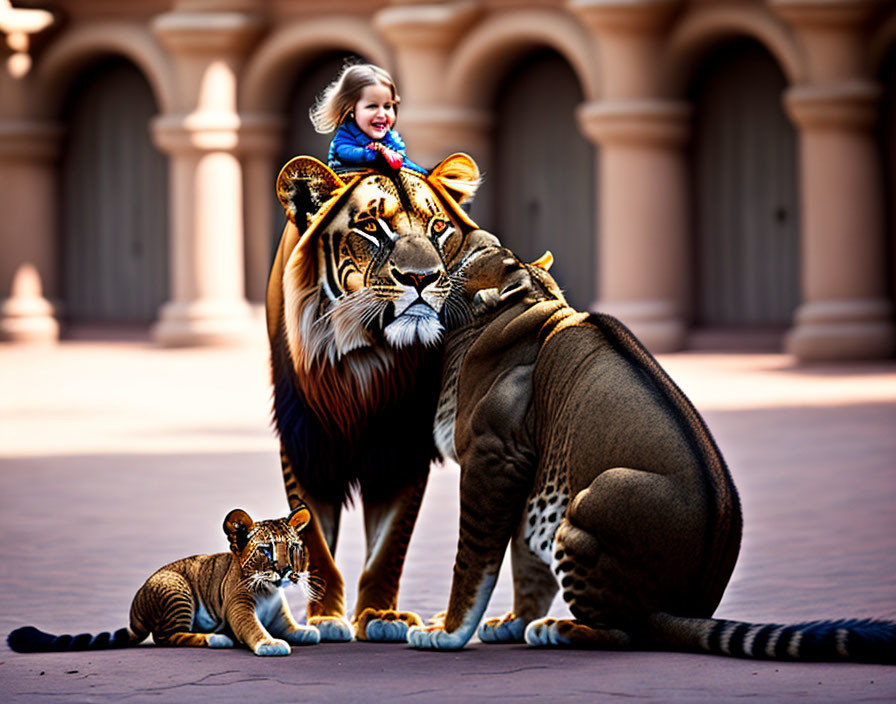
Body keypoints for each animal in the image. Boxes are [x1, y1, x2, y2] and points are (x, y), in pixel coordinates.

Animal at [268, 154, 496, 644]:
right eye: (372, 227)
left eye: (438, 227)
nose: (421, 278)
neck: (367, 358)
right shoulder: (305, 444)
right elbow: (314, 544)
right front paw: (326, 619)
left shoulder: (402, 449)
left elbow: (389, 547)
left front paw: (380, 616)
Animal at [408, 245, 896, 664]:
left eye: (465, 258)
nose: (424, 270)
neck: (524, 306)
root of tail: (685, 606)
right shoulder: (525, 476)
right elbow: (524, 561)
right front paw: (510, 619)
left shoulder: (493, 459)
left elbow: (472, 559)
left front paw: (447, 632)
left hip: (595, 497)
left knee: (626, 633)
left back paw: (558, 629)